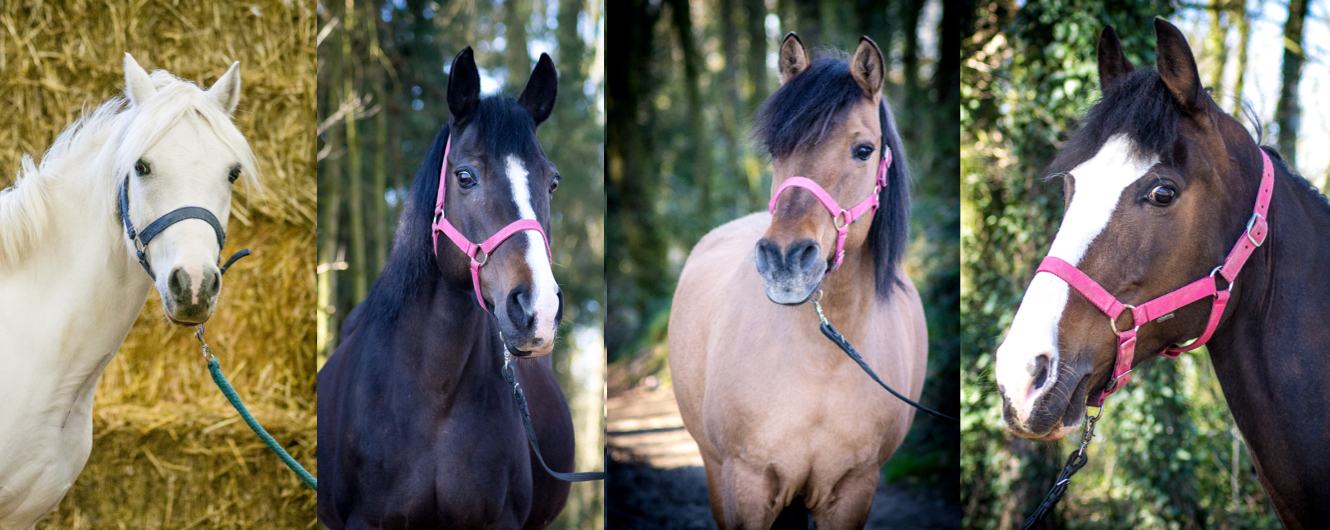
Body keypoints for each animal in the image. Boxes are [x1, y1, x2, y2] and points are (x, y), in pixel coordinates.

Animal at [668, 34, 927, 529]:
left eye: (863, 150)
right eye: (776, 150)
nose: (784, 260)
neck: (822, 362)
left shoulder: (853, 489)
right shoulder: (745, 483)